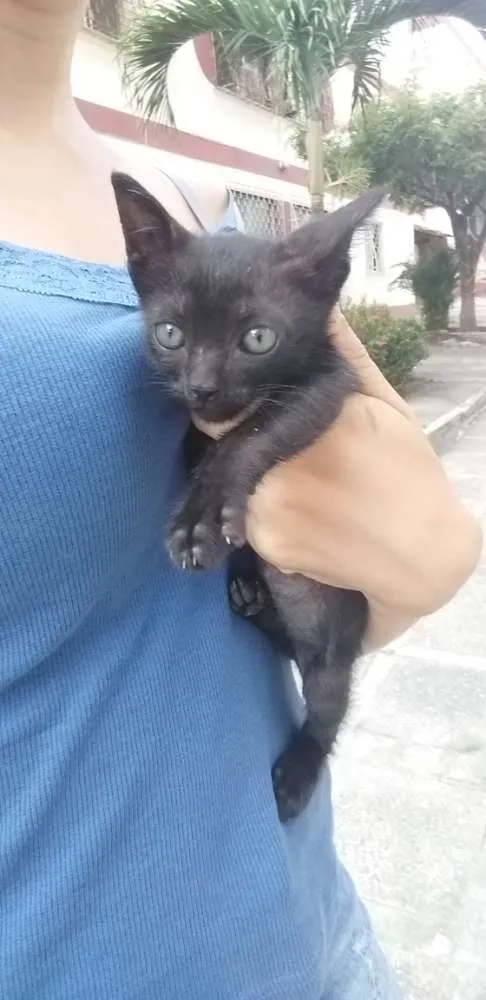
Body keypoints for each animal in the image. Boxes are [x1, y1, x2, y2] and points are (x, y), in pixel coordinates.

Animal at [112, 174, 386, 820]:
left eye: (257, 339)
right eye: (170, 334)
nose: (203, 387)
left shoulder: (329, 385)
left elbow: (253, 432)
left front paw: (203, 520)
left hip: (337, 648)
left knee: (325, 703)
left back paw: (298, 772)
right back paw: (251, 595)